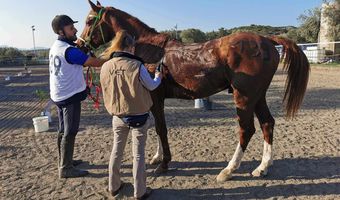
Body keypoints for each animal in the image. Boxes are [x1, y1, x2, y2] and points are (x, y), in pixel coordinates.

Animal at [79, 0, 310, 182]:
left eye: (90, 20)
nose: (80, 45)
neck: (152, 50)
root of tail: (267, 40)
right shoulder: (154, 100)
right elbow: (158, 128)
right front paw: (157, 157)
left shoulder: (156, 97)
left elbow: (162, 128)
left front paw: (164, 164)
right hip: (258, 97)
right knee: (267, 124)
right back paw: (262, 167)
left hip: (244, 97)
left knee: (247, 129)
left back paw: (229, 170)